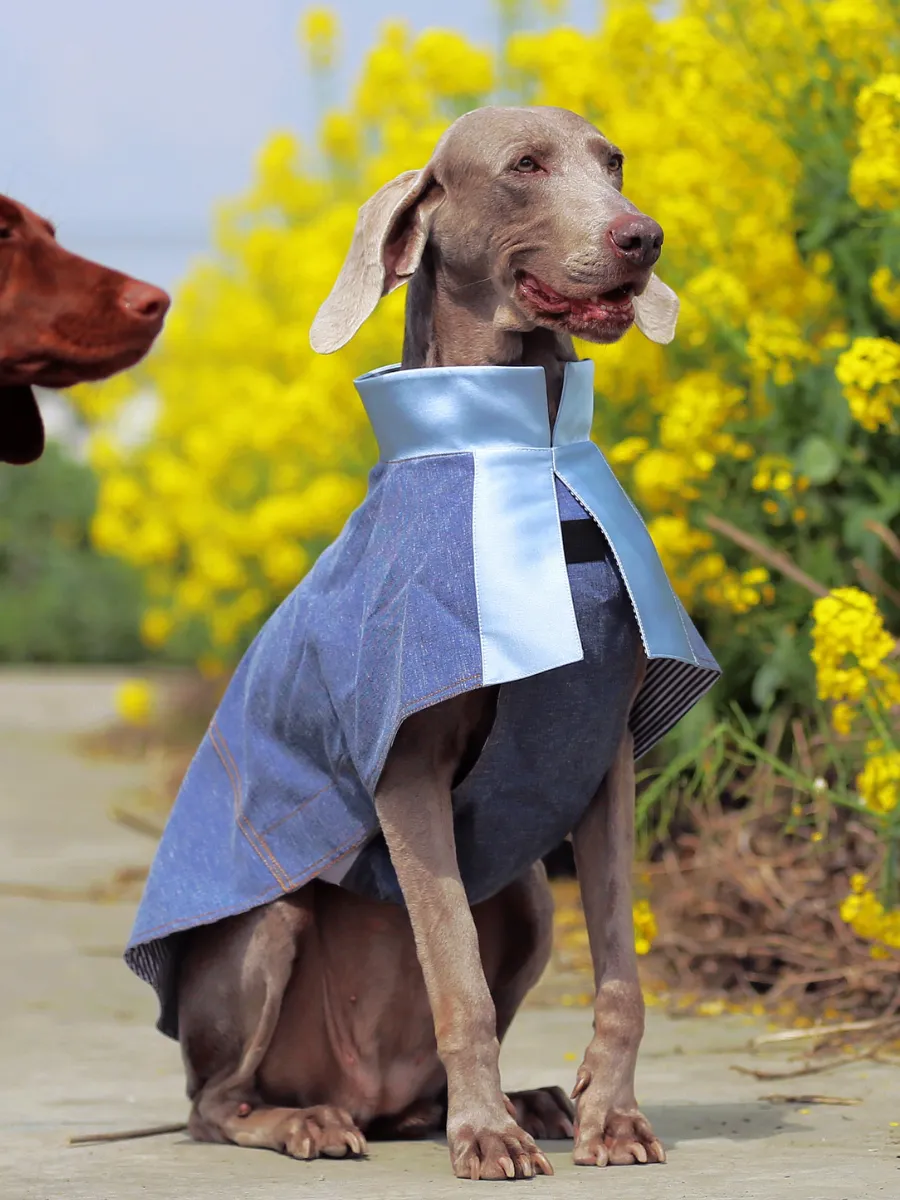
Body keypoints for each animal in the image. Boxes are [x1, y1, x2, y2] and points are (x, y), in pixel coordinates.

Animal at [170, 110, 676, 1180]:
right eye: (525, 166)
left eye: (613, 162)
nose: (643, 238)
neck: (522, 451)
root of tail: (366, 1087)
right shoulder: (408, 767)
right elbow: (456, 978)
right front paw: (486, 1138)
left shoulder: (603, 756)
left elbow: (620, 974)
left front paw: (610, 1118)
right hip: (268, 925)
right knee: (213, 1102)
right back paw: (313, 1122)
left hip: (526, 898)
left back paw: (524, 1101)